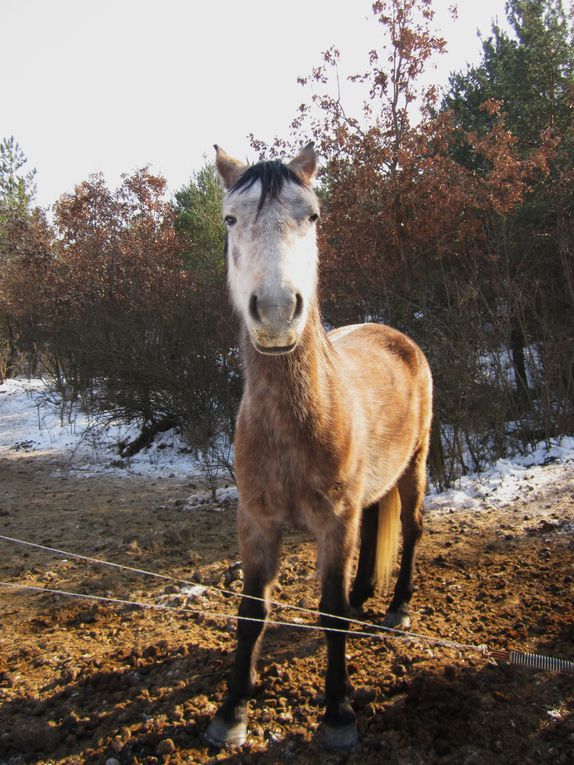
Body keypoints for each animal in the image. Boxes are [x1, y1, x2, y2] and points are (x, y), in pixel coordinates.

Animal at [205, 142, 434, 748]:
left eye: (312, 215)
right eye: (230, 219)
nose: (276, 312)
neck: (292, 426)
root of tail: (395, 335)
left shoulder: (334, 522)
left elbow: (329, 615)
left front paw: (337, 714)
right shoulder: (256, 521)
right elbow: (251, 611)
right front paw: (231, 711)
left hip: (416, 465)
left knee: (410, 527)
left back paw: (397, 606)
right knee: (377, 521)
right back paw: (365, 594)